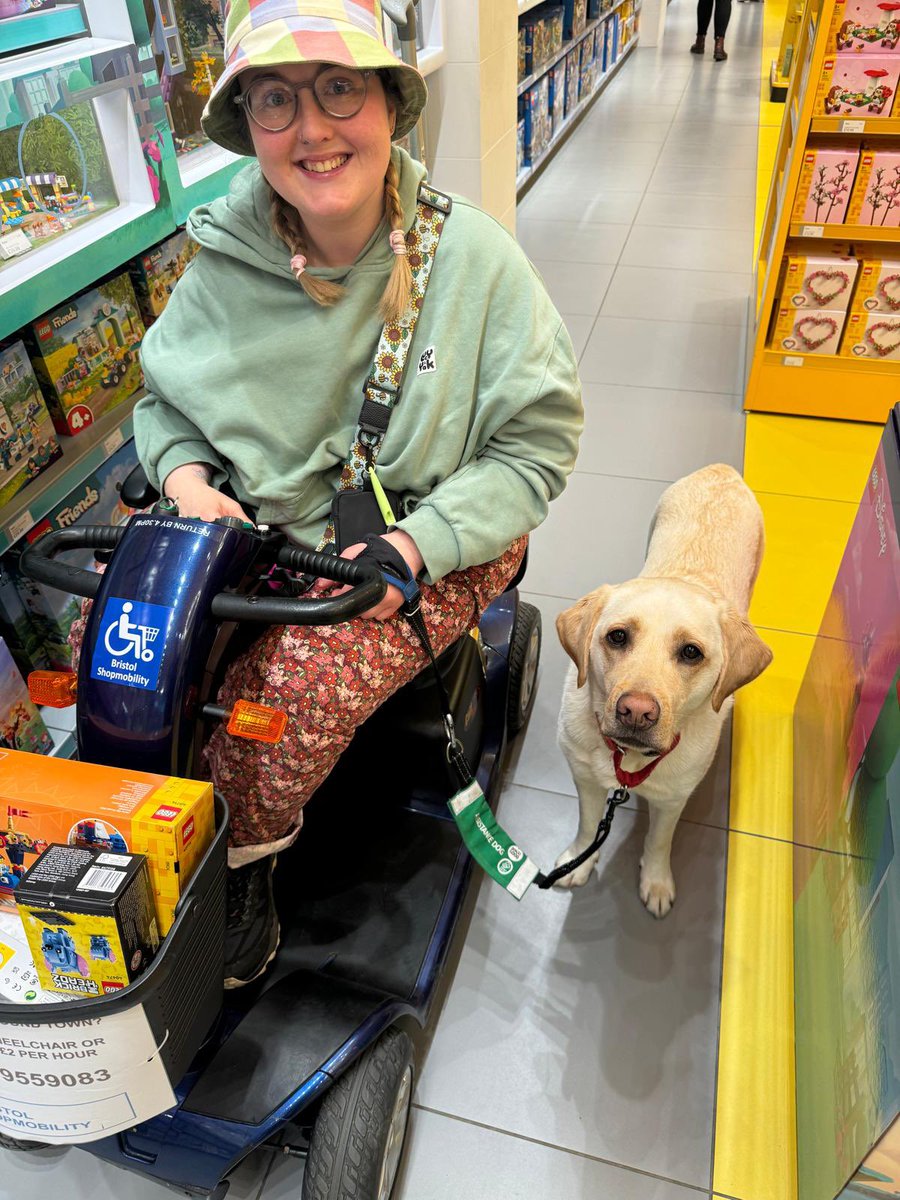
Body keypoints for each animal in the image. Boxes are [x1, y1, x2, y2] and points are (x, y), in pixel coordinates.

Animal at [556, 463, 777, 912]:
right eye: (617, 637)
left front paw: (656, 882)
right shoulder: (583, 776)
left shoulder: (674, 798)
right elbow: (587, 825)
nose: (636, 711)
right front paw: (579, 860)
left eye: (691, 652)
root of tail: (722, 470)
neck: (628, 762)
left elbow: (660, 840)